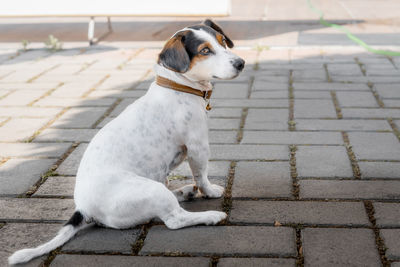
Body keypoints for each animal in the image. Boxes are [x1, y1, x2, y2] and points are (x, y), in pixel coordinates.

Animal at [9, 19, 245, 266]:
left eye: (222, 42)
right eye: (205, 51)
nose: (241, 63)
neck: (177, 86)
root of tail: (83, 208)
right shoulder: (198, 146)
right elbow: (202, 176)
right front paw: (210, 192)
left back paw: (185, 192)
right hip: (152, 190)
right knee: (175, 219)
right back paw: (211, 215)